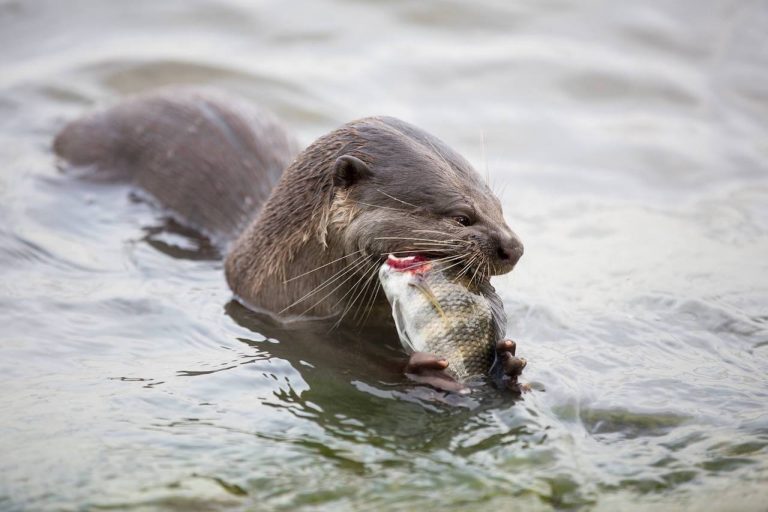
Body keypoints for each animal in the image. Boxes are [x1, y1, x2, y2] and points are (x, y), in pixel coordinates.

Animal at [51, 89, 524, 388]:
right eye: (461, 217)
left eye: (498, 207)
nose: (514, 247)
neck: (281, 268)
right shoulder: (292, 320)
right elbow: (345, 360)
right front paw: (418, 369)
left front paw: (507, 363)